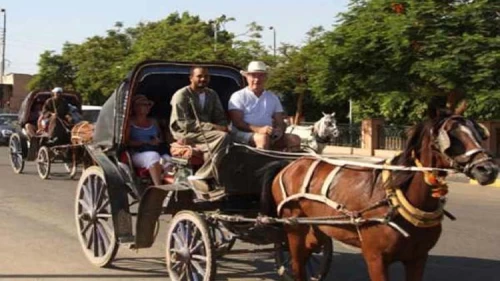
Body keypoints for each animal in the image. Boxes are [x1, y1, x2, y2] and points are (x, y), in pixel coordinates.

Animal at [264, 104, 498, 278]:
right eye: (450, 136)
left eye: (479, 133)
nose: (489, 169)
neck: (396, 199)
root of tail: (290, 165)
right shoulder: (376, 257)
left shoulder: (418, 258)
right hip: (293, 226)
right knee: (297, 262)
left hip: (318, 227)